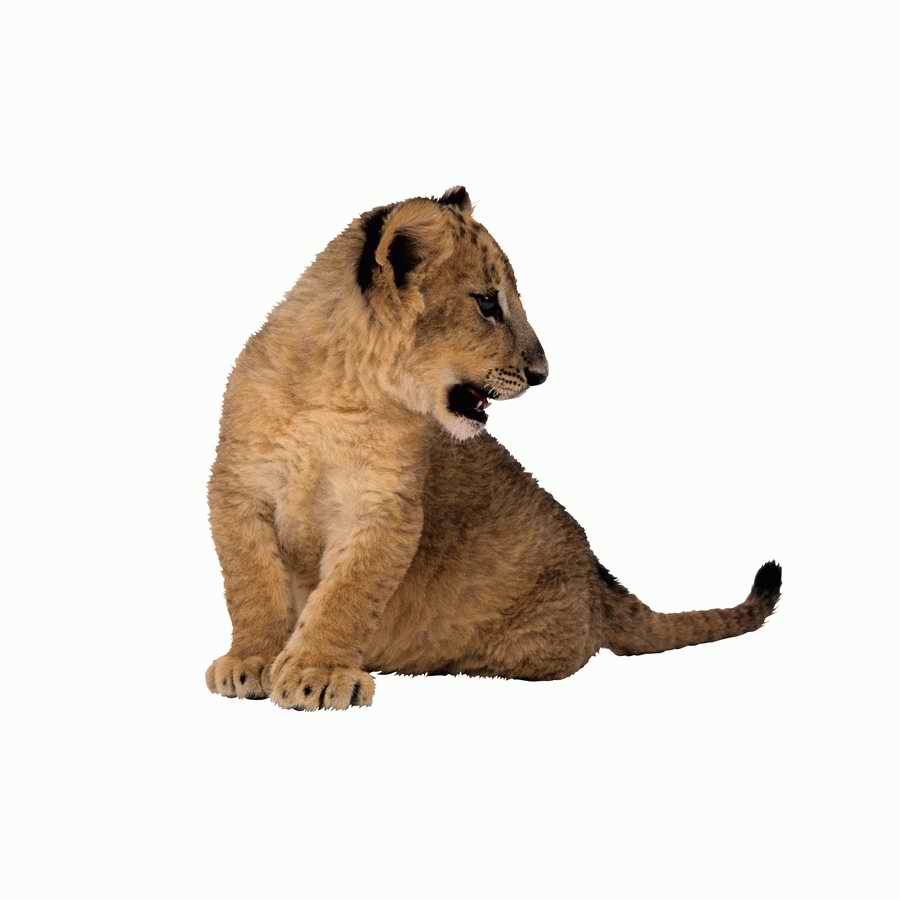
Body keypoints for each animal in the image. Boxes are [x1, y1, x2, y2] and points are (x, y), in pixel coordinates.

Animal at [206, 186, 782, 711]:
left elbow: (347, 595)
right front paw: (252, 662)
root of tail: (600, 579)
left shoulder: (386, 508)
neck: (340, 392)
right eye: (487, 303)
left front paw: (318, 673)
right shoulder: (237, 490)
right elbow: (251, 586)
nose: (541, 373)